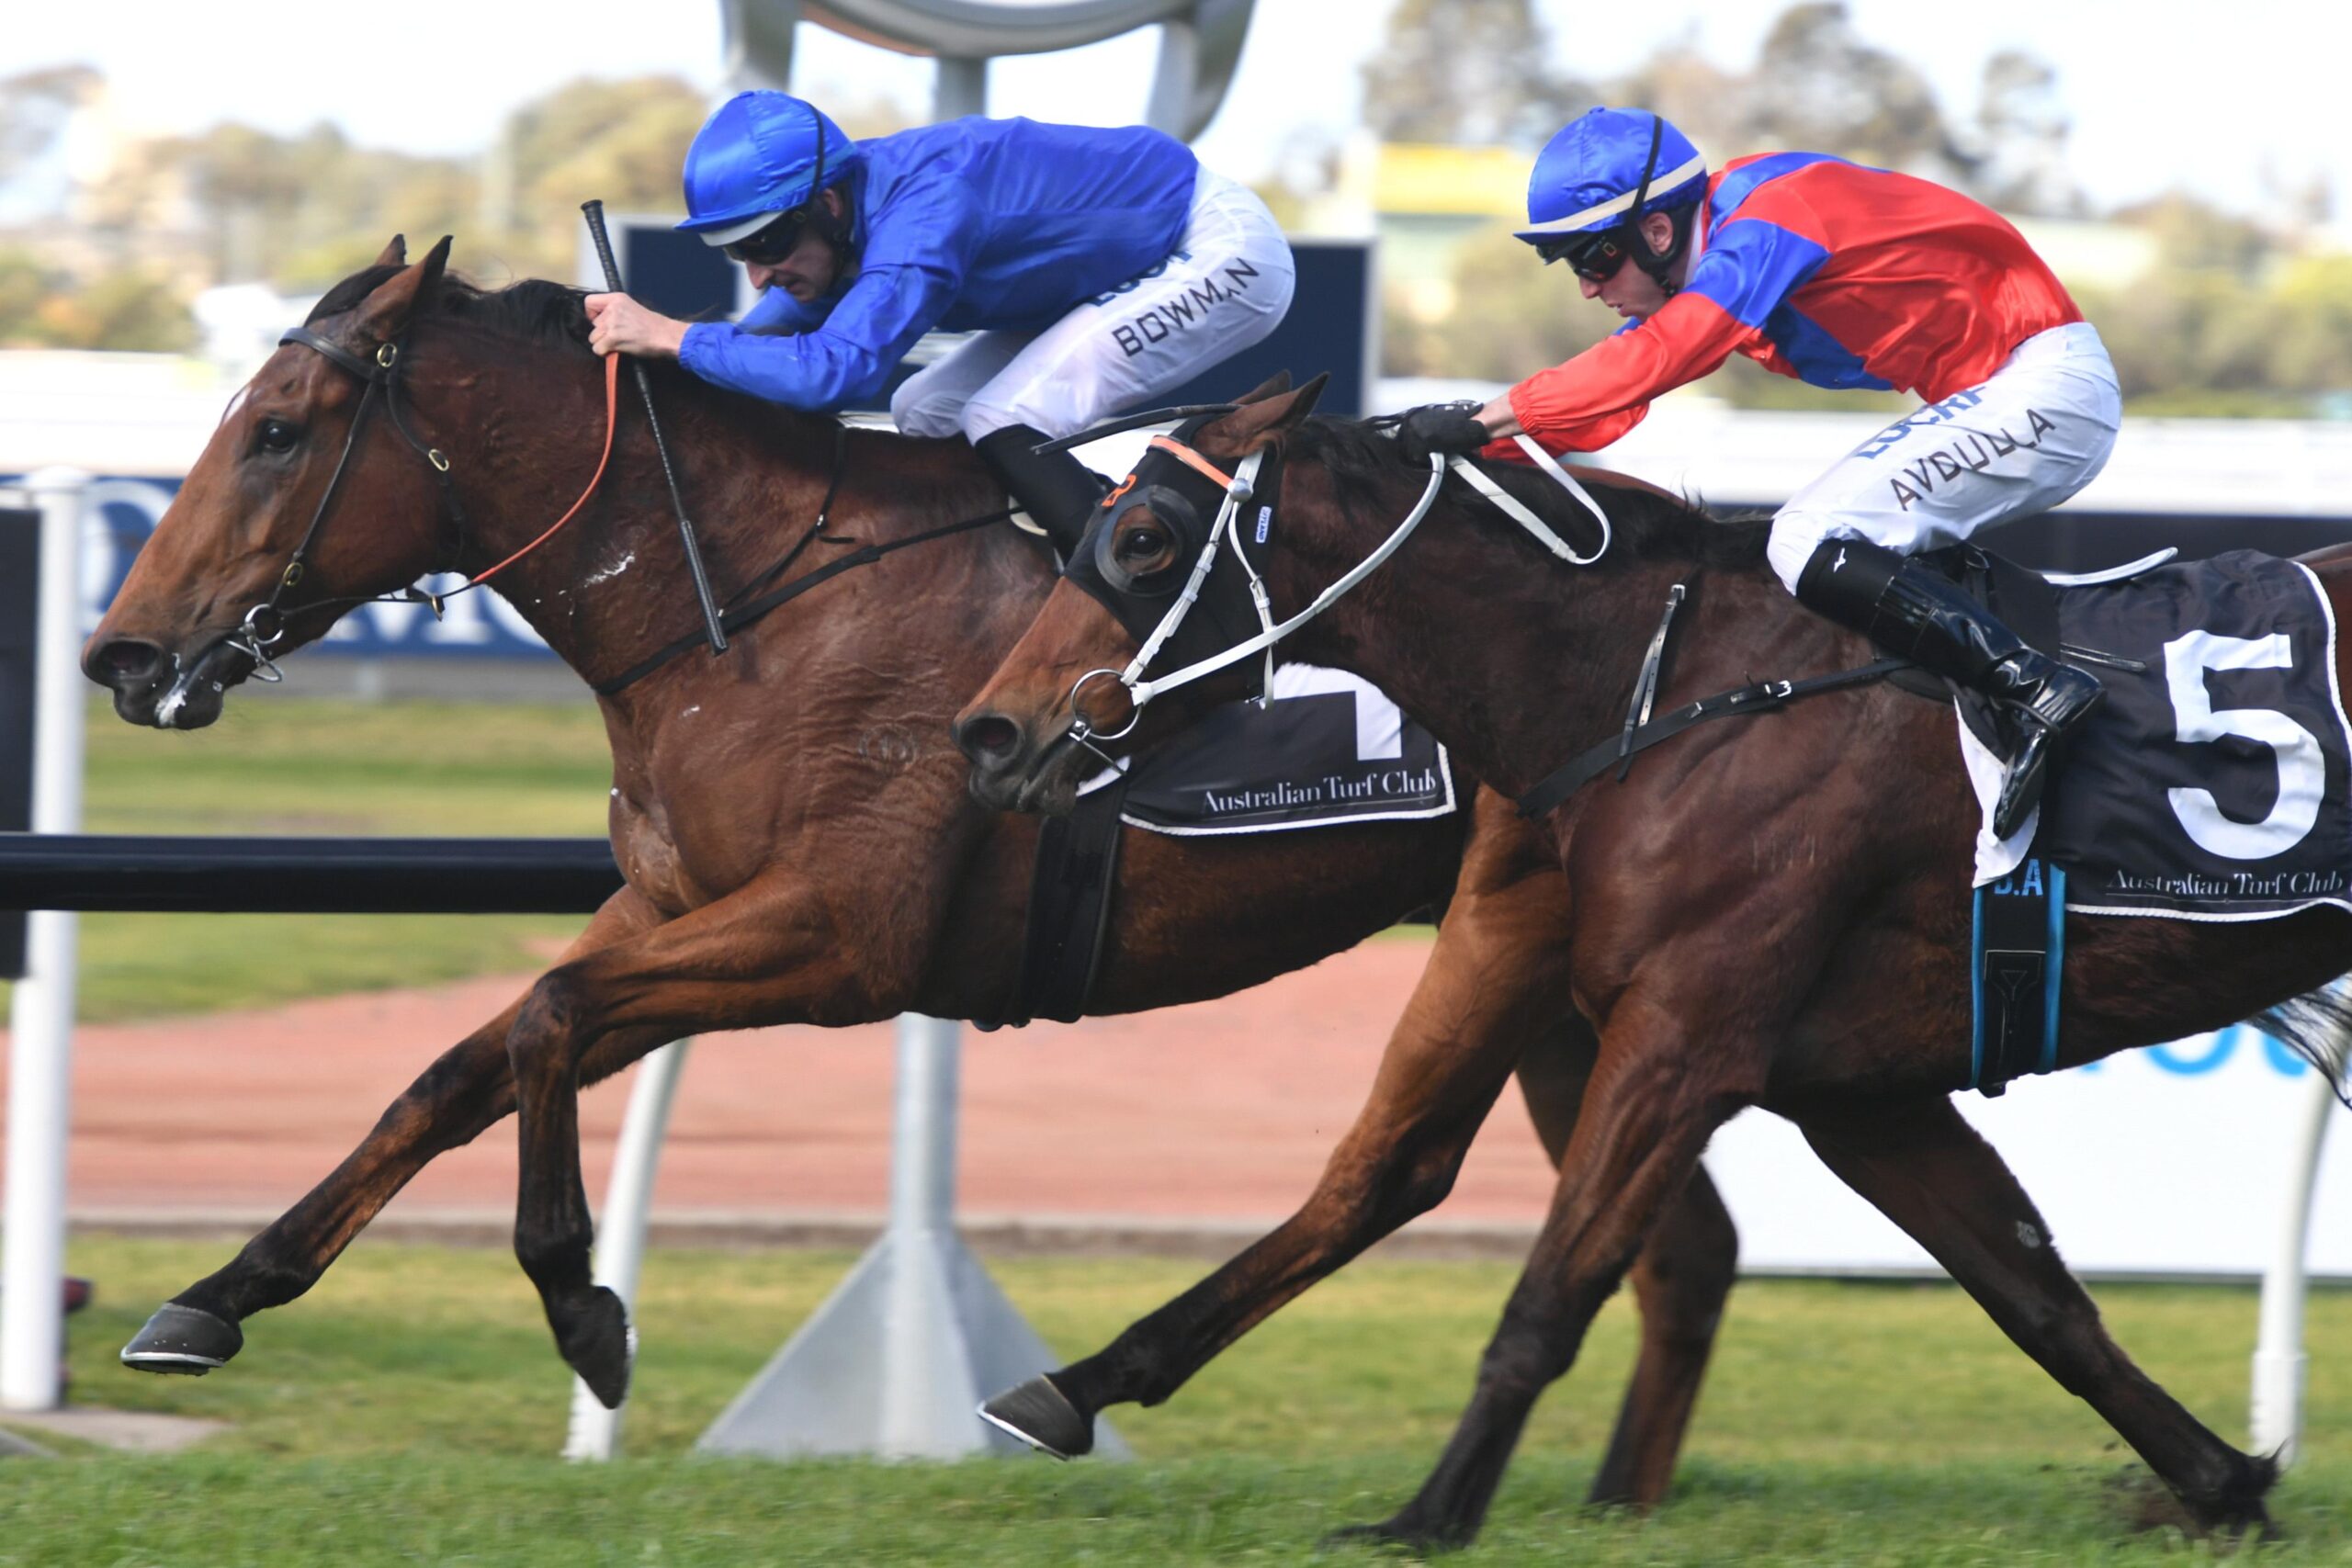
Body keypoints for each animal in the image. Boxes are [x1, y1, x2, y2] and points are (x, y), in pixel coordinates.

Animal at [78, 242, 1731, 1504]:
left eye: (280, 429)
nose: (123, 653)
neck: (748, 604)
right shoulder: (674, 906)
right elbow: (458, 1066)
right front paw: (215, 1296)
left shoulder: (840, 936)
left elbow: (547, 1016)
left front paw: (587, 1308)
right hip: (1578, 979)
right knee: (1678, 1242)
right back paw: (1617, 1496)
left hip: (1521, 933)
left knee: (1415, 1169)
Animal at [945, 376, 2342, 1541]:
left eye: (1142, 539)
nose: (991, 731)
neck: (1669, 684)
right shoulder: (1860, 1092)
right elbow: (2042, 1300)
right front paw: (2223, 1484)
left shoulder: (1683, 1039)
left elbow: (1550, 1292)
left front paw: (1427, 1517)